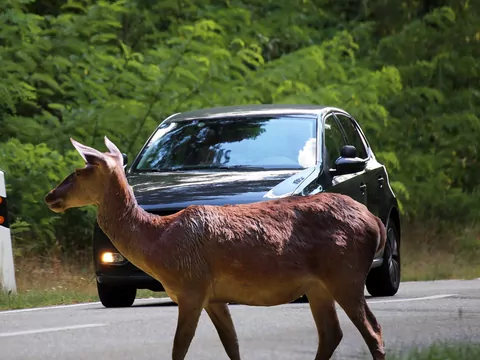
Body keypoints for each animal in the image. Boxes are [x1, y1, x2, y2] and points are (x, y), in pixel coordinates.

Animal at [45, 136, 388, 358]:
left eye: (79, 171)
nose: (50, 196)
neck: (159, 244)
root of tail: (375, 222)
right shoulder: (214, 296)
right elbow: (232, 345)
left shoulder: (192, 287)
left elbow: (179, 348)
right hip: (319, 286)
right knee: (331, 334)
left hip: (345, 272)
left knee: (372, 330)